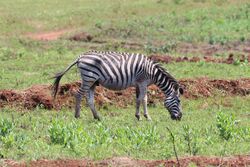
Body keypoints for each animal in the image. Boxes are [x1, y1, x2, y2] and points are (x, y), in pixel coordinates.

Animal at [51, 50, 183, 120]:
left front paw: (138, 116)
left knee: (90, 99)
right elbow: (144, 99)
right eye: (179, 101)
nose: (179, 117)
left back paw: (97, 117)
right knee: (78, 94)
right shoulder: (143, 82)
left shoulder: (138, 84)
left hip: (92, 81)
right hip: (89, 78)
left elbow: (138, 99)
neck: (152, 72)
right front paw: (147, 117)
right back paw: (77, 115)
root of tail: (80, 57)